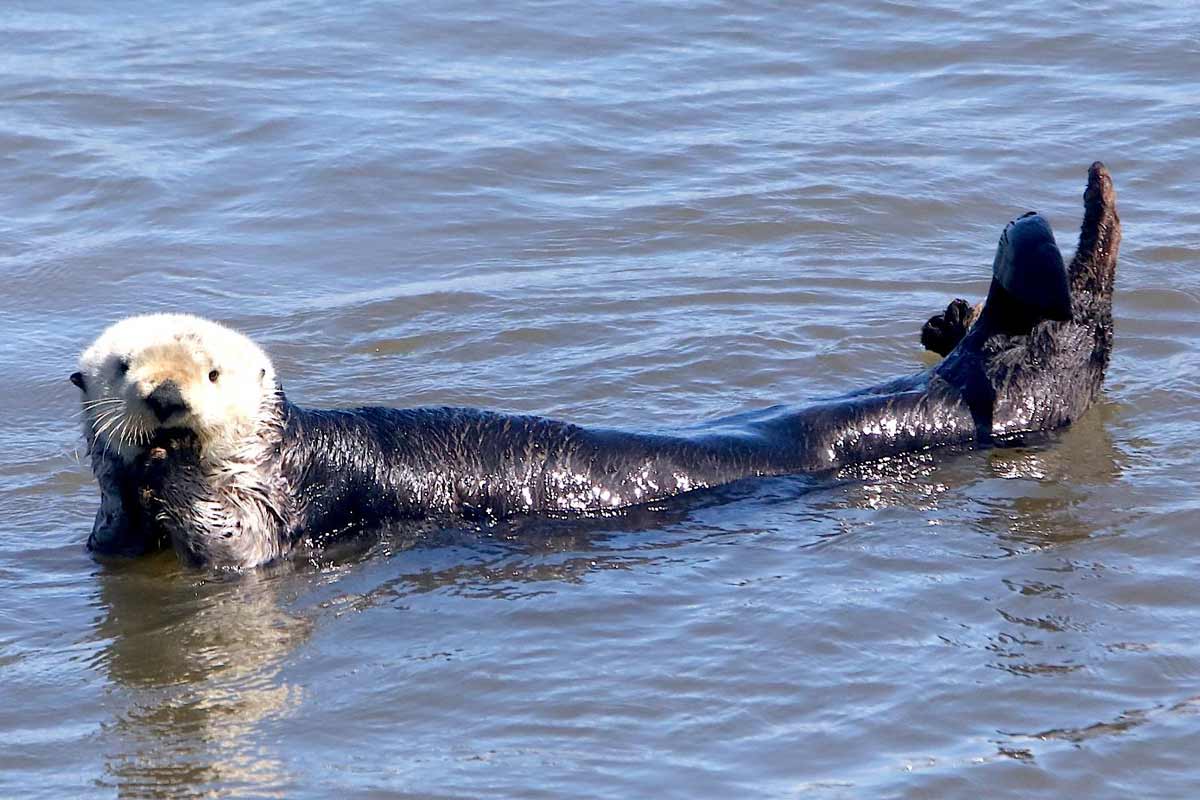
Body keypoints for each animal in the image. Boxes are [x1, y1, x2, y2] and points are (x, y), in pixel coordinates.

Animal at [75, 164, 1118, 568]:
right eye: (127, 367)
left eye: (211, 376)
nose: (167, 402)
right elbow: (112, 543)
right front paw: (135, 476)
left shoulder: (277, 503)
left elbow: (235, 543)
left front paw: (174, 477)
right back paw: (955, 321)